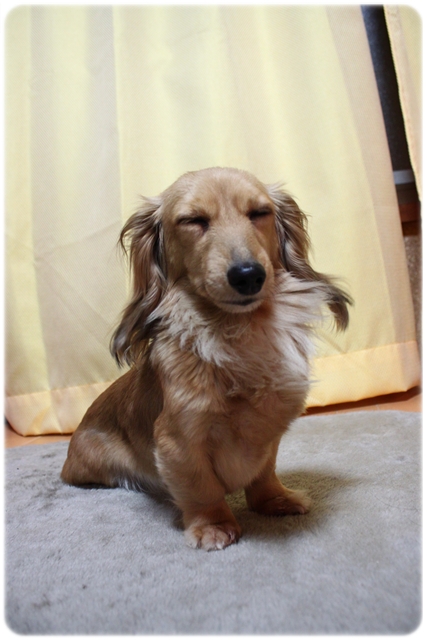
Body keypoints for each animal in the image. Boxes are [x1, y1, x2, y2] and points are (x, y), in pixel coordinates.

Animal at [61, 167, 351, 551]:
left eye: (259, 213)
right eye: (193, 220)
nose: (248, 275)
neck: (241, 337)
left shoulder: (268, 433)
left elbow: (264, 473)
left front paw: (274, 500)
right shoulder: (179, 441)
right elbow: (201, 488)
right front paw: (213, 525)